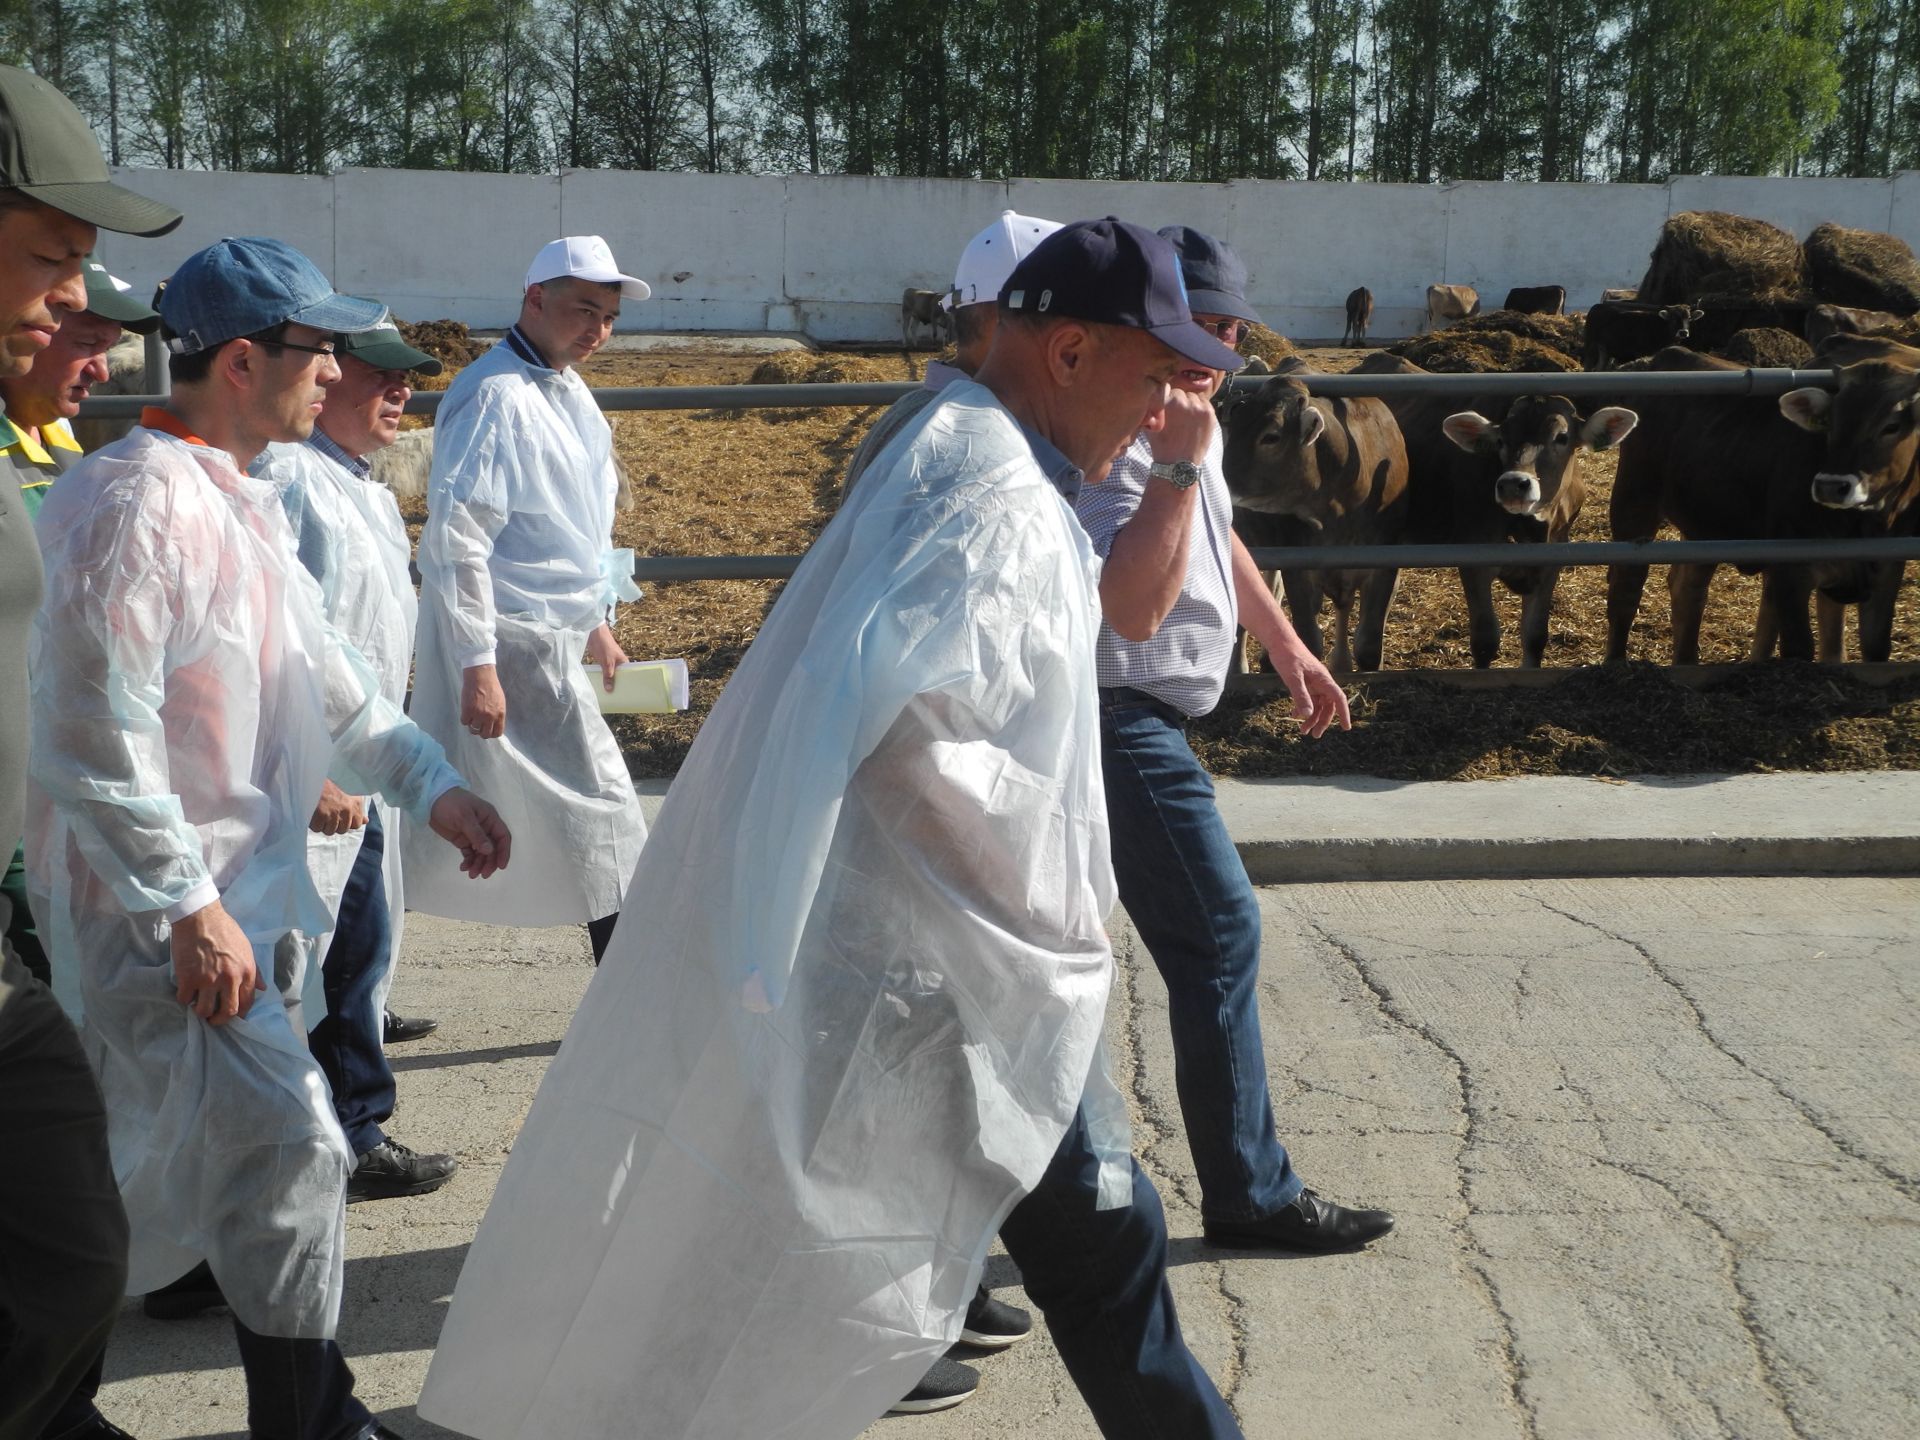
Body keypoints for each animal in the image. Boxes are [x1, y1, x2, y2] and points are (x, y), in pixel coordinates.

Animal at [1359, 353, 1643, 668]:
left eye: (1561, 437)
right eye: (1500, 440)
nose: (1513, 484)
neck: (1531, 529)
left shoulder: (1552, 558)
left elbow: (1535, 636)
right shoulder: (1474, 556)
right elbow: (1485, 641)